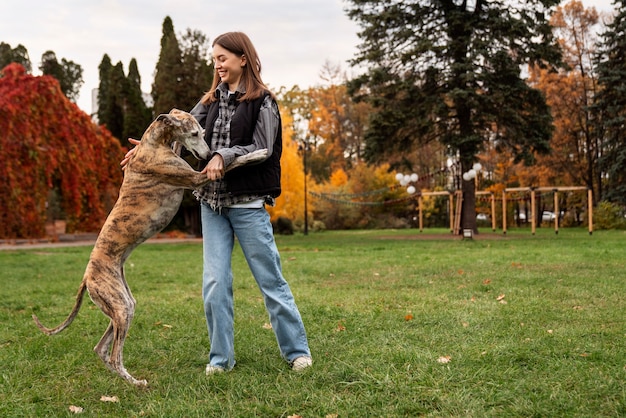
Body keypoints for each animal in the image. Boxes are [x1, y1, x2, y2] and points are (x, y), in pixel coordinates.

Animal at [33, 108, 266, 386]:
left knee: (101, 349)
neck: (152, 144)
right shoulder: (196, 177)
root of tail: (87, 277)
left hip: (124, 305)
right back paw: (136, 383)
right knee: (114, 356)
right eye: (194, 133)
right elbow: (232, 163)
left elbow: (180, 145)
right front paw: (258, 154)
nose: (209, 155)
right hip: (120, 306)